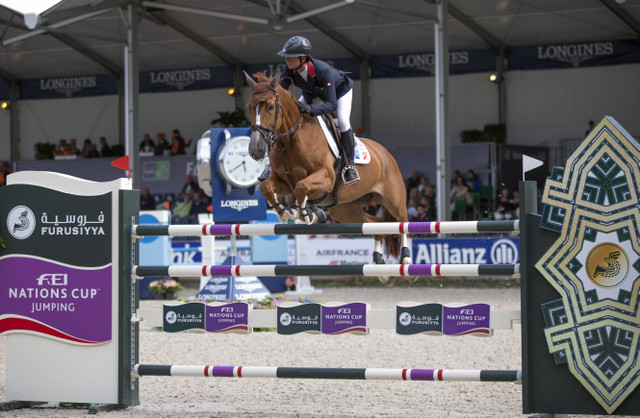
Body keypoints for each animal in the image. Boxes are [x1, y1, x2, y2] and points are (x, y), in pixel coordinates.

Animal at [242, 71, 412, 284]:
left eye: (271, 107)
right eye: (249, 107)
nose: (255, 150)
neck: (292, 139)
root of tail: (385, 153)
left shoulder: (326, 179)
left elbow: (301, 187)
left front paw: (305, 213)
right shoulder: (283, 182)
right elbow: (269, 187)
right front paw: (286, 211)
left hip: (393, 200)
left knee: (402, 221)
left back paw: (405, 259)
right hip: (345, 210)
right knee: (377, 224)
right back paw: (380, 267)